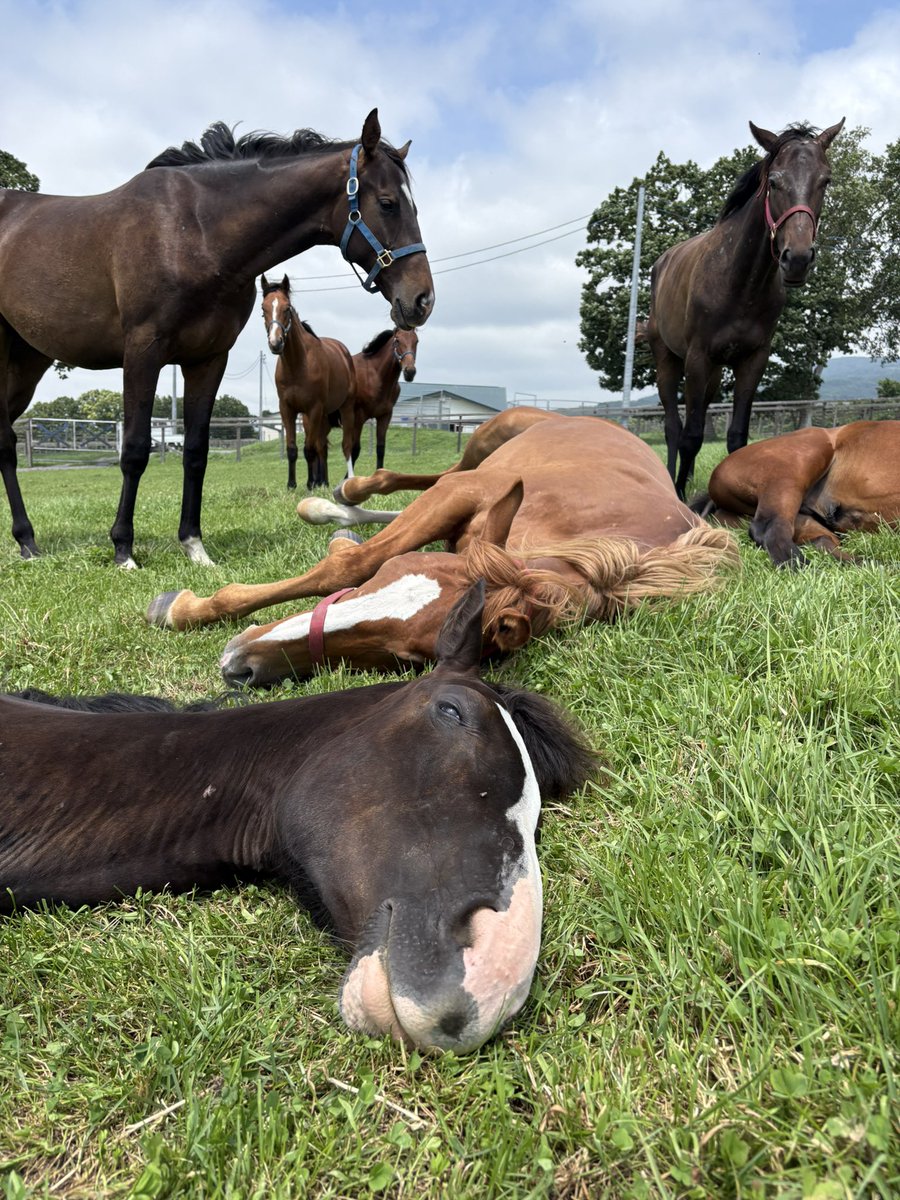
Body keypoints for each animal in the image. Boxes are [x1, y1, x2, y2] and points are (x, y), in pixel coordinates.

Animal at [144, 409, 739, 687]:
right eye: (401, 569)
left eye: (408, 659)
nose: (240, 664)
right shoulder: (471, 492)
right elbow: (353, 563)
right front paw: (186, 608)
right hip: (486, 444)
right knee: (423, 474)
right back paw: (339, 498)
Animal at [260, 275, 356, 490]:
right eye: (263, 308)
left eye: (287, 308)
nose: (275, 343)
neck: (298, 366)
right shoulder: (288, 410)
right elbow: (293, 449)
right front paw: (292, 484)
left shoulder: (313, 408)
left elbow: (309, 449)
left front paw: (310, 483)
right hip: (320, 418)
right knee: (323, 447)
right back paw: (323, 482)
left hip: (343, 410)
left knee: (344, 446)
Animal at [342, 326, 420, 472]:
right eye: (397, 341)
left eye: (416, 341)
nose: (410, 372)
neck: (375, 375)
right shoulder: (359, 418)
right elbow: (355, 450)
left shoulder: (385, 416)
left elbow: (380, 449)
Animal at [644, 118, 844, 500]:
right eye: (774, 181)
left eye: (825, 180)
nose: (797, 259)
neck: (740, 284)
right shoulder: (697, 358)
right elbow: (691, 436)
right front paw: (681, 498)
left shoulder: (752, 360)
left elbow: (736, 436)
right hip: (668, 360)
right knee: (674, 428)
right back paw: (672, 482)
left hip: (712, 374)